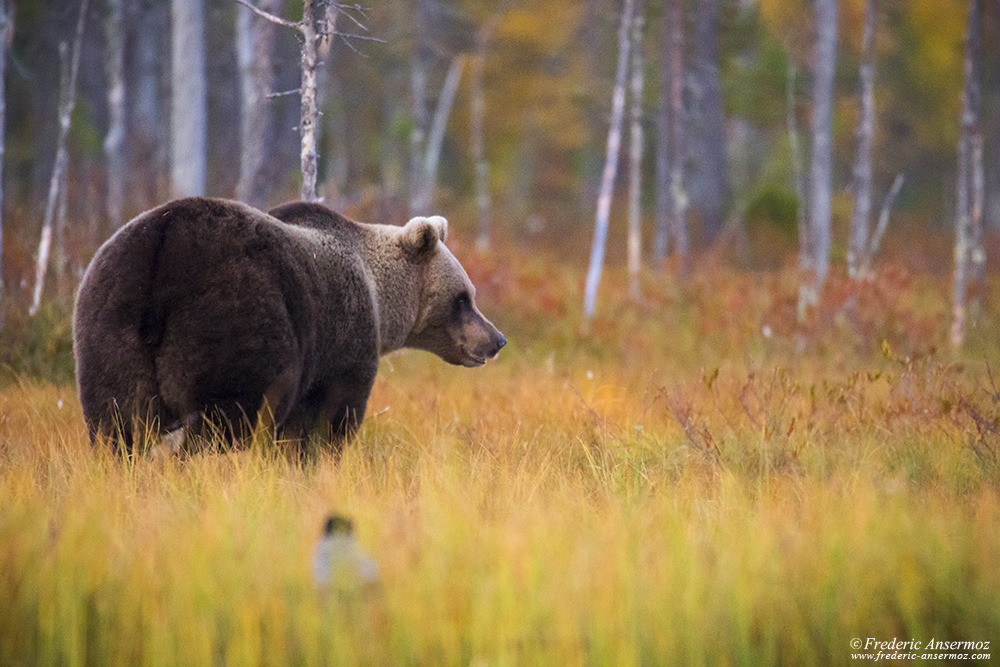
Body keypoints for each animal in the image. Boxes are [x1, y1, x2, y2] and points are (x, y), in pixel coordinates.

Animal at [73, 196, 504, 452]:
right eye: (463, 298)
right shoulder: (343, 341)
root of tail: (163, 243)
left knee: (117, 422)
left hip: (110, 316)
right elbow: (326, 418)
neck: (382, 301)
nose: (497, 339)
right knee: (223, 420)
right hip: (232, 316)